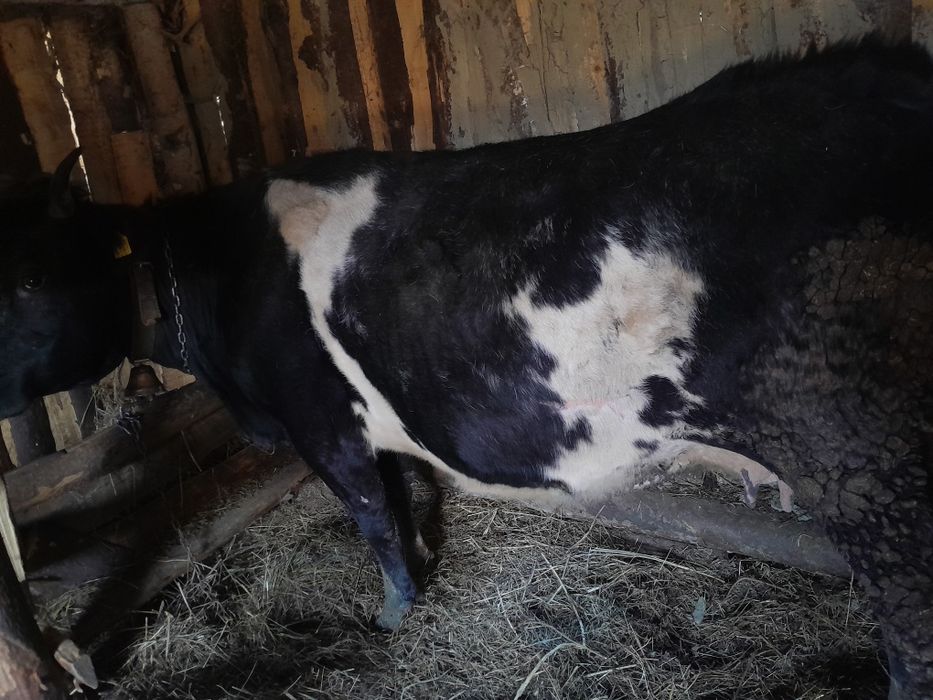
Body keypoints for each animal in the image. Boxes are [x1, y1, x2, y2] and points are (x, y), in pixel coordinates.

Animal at [1, 37, 931, 698]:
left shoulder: (321, 422)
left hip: (876, 476)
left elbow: (371, 517)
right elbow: (402, 495)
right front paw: (419, 571)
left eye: (31, 276)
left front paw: (391, 613)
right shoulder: (369, 423)